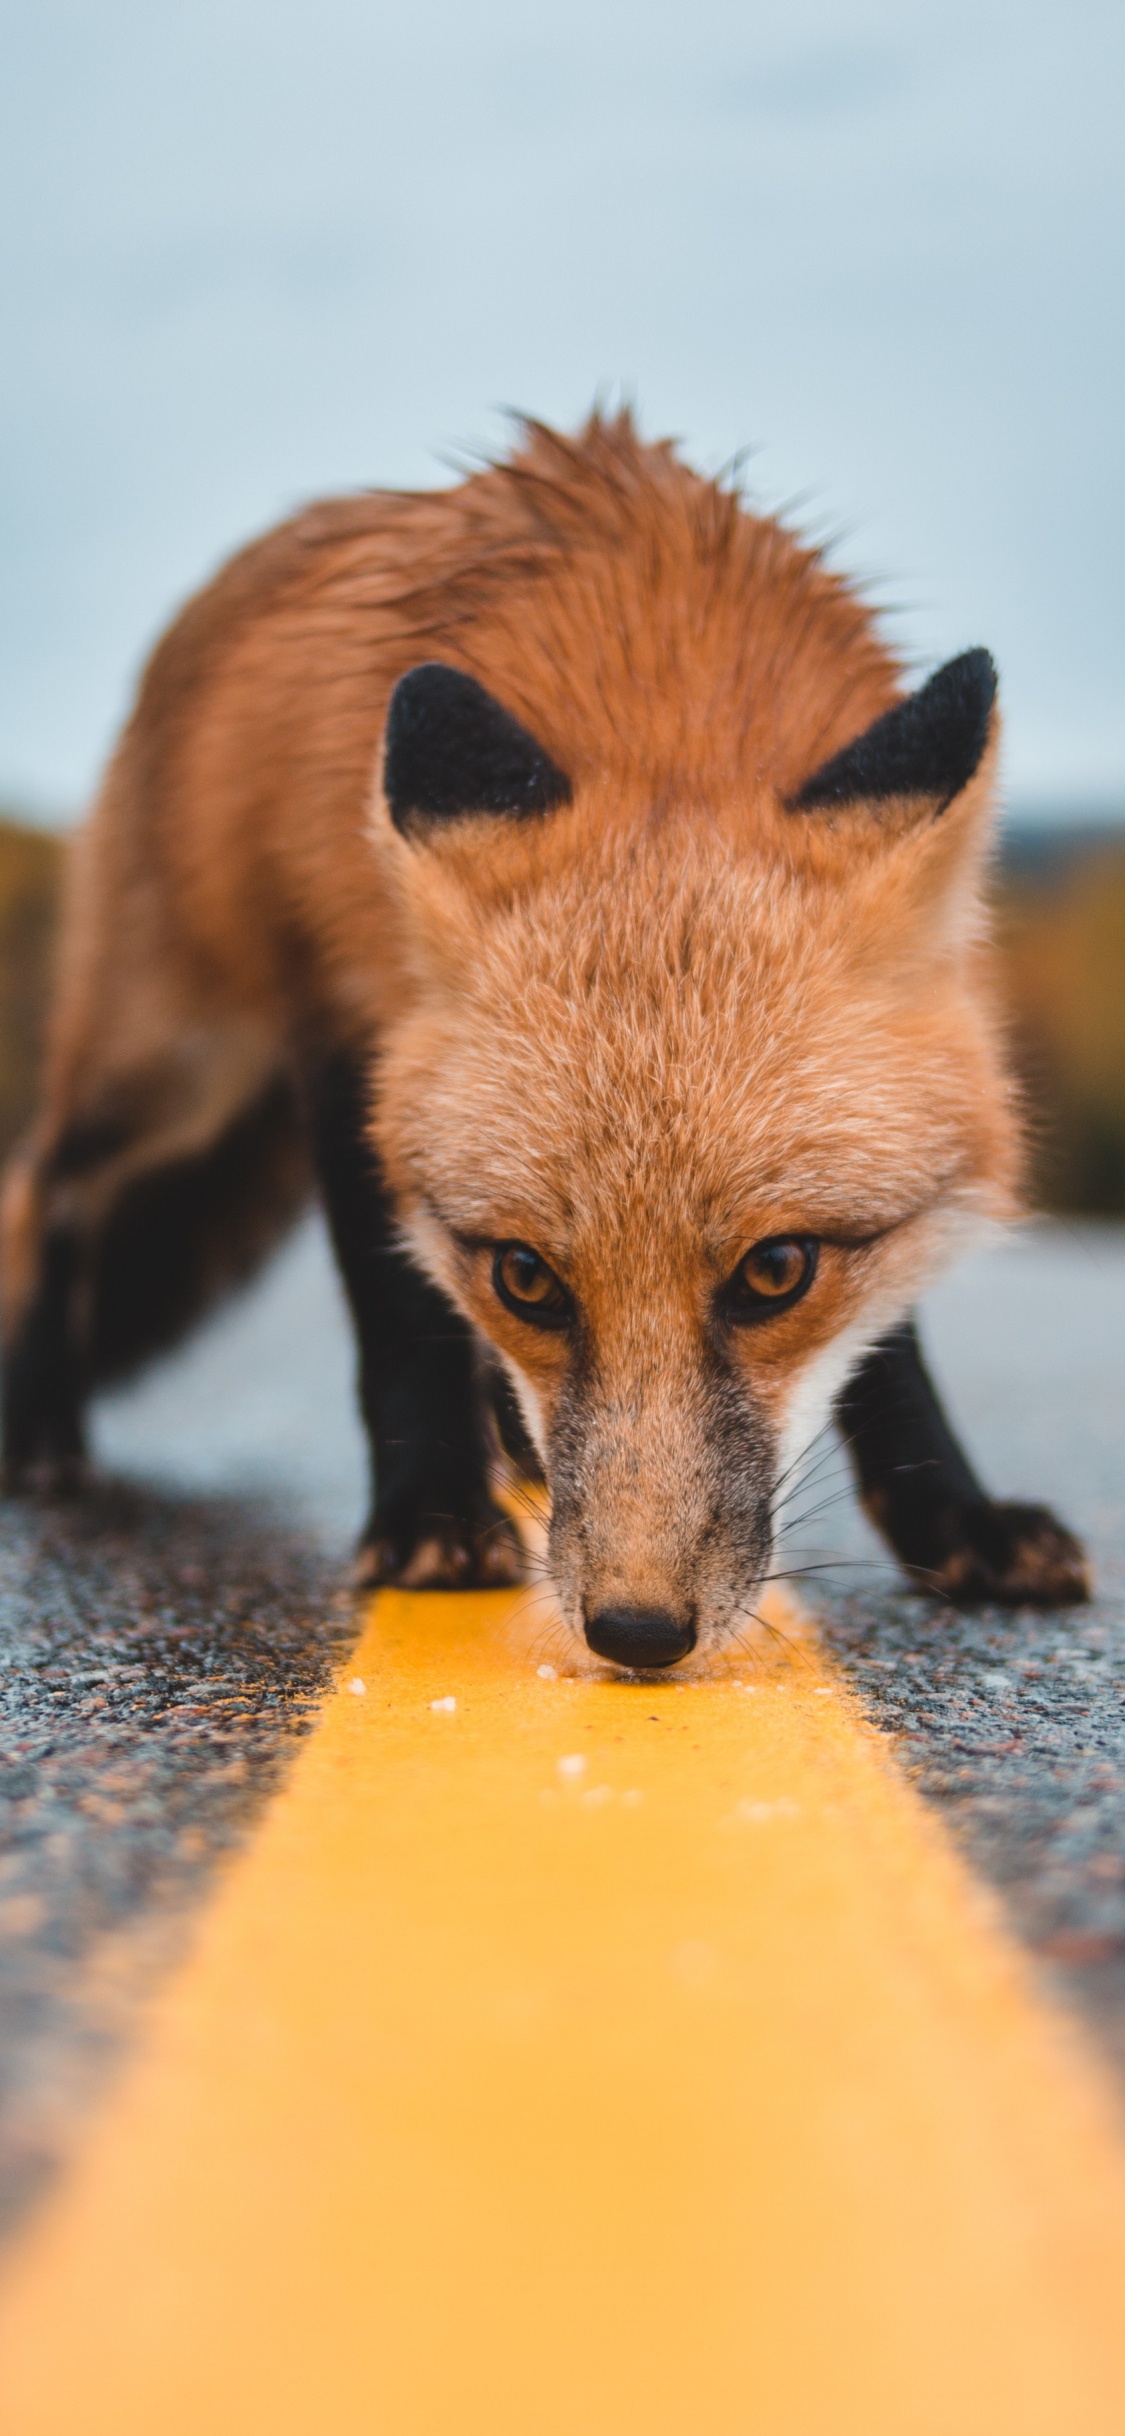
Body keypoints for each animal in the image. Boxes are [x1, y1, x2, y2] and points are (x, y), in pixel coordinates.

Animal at [0, 411, 1089, 1670]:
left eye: (777, 1272)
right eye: (526, 1278)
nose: (637, 1631)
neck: (664, 696)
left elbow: (892, 1350)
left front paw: (952, 1517)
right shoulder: (346, 1029)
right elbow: (400, 1309)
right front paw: (427, 1513)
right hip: (176, 1061)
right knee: (48, 1182)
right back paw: (41, 1423)